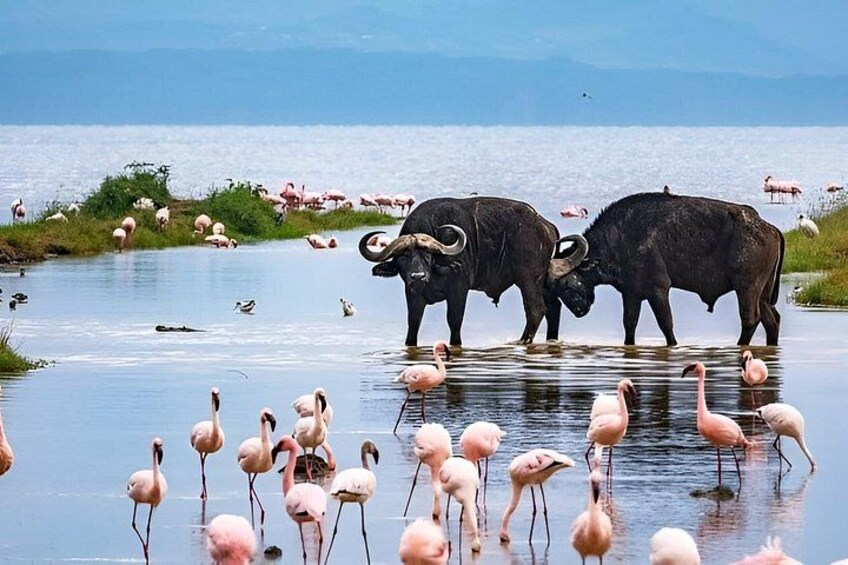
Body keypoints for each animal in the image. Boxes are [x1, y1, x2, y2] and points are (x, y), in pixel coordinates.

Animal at [358, 197, 580, 347]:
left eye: (427, 256)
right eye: (403, 257)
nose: (418, 276)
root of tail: (545, 225)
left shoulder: (458, 289)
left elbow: (454, 319)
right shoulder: (412, 293)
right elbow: (413, 322)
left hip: (529, 280)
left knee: (536, 309)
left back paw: (524, 340)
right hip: (543, 281)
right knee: (553, 307)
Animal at [547, 192, 785, 346]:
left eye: (565, 285)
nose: (579, 311)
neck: (619, 238)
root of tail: (768, 228)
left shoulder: (658, 290)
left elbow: (666, 324)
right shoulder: (631, 294)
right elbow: (629, 324)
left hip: (747, 287)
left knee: (750, 318)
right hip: (763, 292)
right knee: (772, 319)